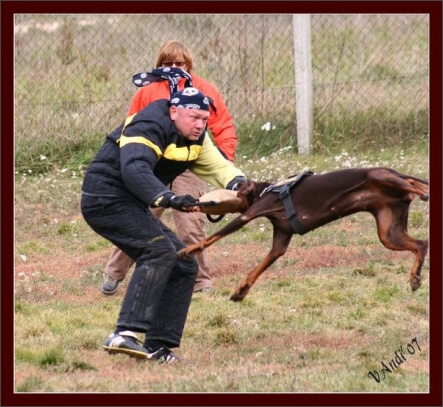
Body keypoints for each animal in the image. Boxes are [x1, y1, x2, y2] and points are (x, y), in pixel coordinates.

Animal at [178, 167, 430, 302]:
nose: (235, 185)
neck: (265, 191)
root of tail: (395, 172)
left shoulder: (248, 216)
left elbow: (211, 238)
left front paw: (188, 250)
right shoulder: (280, 241)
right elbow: (258, 268)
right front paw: (241, 291)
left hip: (378, 176)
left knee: (412, 182)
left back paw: (423, 192)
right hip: (389, 233)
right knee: (421, 244)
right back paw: (414, 277)